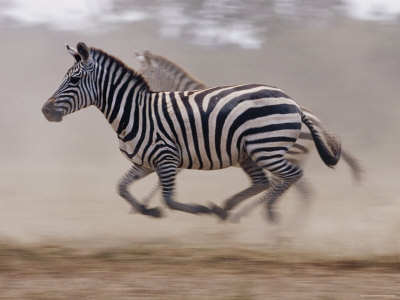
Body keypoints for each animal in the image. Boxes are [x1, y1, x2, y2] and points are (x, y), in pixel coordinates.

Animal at [41, 42, 340, 220]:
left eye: (74, 79)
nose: (45, 110)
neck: (134, 112)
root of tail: (293, 102)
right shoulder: (144, 162)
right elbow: (121, 187)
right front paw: (145, 209)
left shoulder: (167, 158)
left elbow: (170, 199)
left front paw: (196, 209)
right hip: (249, 154)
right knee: (263, 182)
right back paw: (228, 208)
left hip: (266, 148)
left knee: (290, 177)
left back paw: (262, 212)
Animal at [134, 50, 362, 221]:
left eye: (146, 73)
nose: (144, 99)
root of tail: (317, 122)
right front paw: (144, 204)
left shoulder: (186, 148)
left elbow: (161, 178)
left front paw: (144, 204)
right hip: (286, 156)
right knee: (303, 191)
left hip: (275, 153)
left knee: (283, 184)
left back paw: (247, 215)